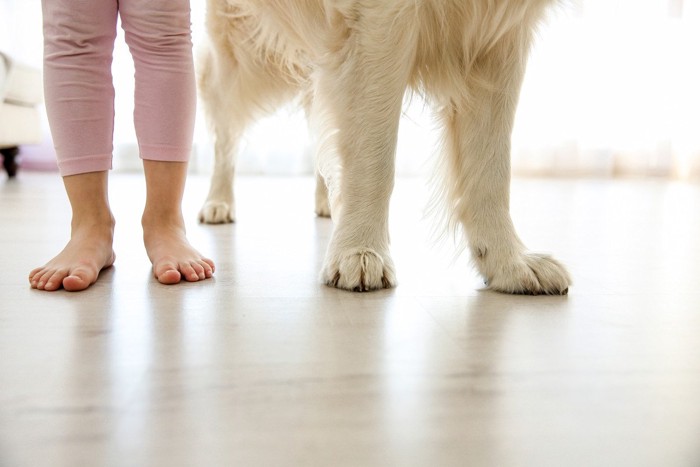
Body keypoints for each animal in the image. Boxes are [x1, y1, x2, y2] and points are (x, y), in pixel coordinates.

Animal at [194, 0, 572, 294]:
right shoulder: (379, 20)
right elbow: (373, 156)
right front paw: (358, 249)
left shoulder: (498, 33)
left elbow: (490, 171)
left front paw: (508, 261)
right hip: (241, 57)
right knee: (224, 136)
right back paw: (217, 202)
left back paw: (327, 202)